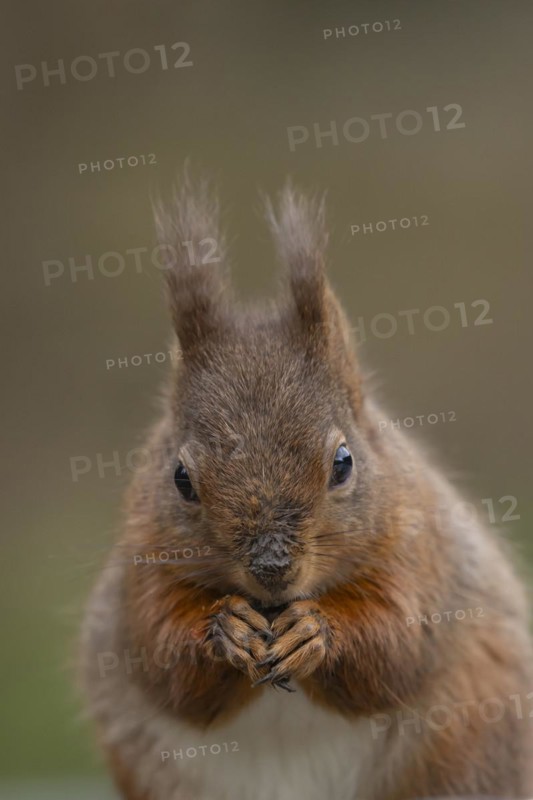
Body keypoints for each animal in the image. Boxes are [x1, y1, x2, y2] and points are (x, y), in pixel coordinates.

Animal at [80, 176, 533, 800]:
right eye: (180, 479)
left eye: (343, 462)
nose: (271, 568)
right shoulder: (142, 567)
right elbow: (160, 657)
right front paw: (227, 628)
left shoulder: (420, 553)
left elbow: (399, 641)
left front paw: (314, 631)